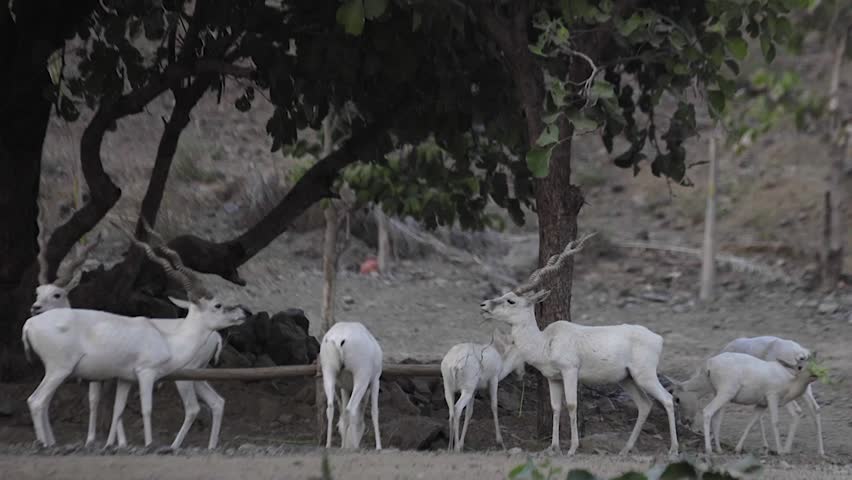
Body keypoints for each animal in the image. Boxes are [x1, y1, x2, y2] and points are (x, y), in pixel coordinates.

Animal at [22, 223, 250, 448]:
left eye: (56, 294)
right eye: (217, 305)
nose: (242, 314)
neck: (168, 341)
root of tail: (29, 324)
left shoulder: (124, 379)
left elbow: (118, 411)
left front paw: (113, 444)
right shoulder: (145, 374)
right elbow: (145, 409)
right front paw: (147, 444)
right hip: (60, 370)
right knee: (36, 401)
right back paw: (45, 444)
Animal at [319, 322, 383, 450]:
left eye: (338, 428)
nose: (349, 444)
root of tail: (339, 339)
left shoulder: (345, 387)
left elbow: (343, 416)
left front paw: (343, 445)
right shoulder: (375, 380)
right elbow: (375, 412)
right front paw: (379, 447)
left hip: (328, 372)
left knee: (331, 407)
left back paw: (328, 445)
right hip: (361, 377)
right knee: (351, 408)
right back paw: (355, 448)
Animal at [479, 232, 679, 457]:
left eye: (511, 300)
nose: (484, 305)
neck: (545, 342)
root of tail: (658, 338)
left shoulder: (570, 371)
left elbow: (572, 405)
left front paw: (572, 448)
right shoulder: (553, 378)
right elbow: (556, 408)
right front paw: (553, 447)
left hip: (645, 375)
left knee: (667, 399)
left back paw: (673, 449)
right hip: (627, 379)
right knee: (645, 405)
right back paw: (625, 450)